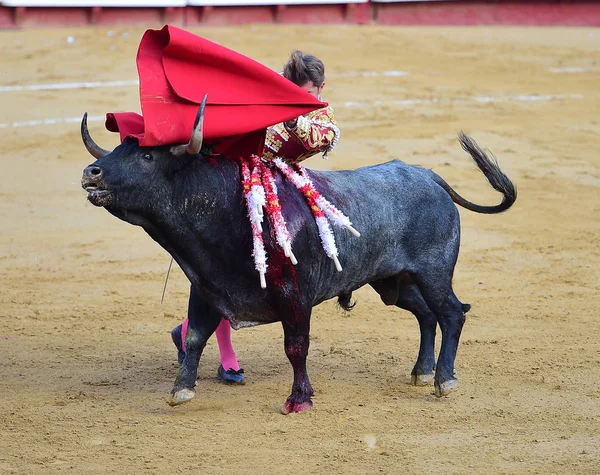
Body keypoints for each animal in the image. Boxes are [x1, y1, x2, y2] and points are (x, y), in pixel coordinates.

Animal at [81, 112, 516, 412]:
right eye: (118, 149)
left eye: (147, 156)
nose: (91, 171)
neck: (227, 208)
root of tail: (428, 176)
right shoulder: (207, 286)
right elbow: (193, 337)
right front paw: (181, 389)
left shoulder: (294, 296)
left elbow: (296, 346)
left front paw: (300, 399)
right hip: (394, 282)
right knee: (426, 315)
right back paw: (422, 372)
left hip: (433, 272)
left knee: (452, 313)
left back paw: (444, 380)